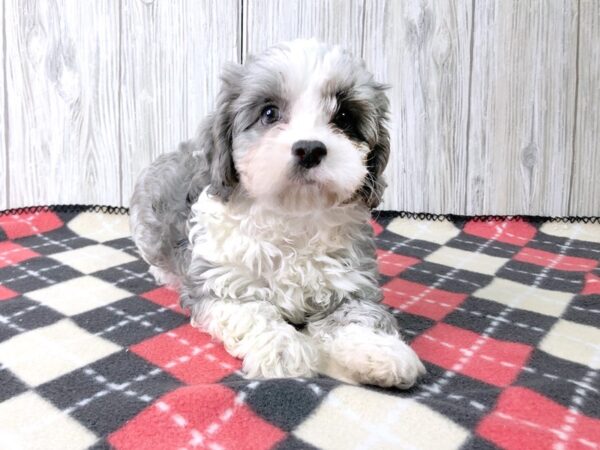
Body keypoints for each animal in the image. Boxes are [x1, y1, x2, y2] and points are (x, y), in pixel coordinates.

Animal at [129, 38, 424, 388]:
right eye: (269, 113)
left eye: (343, 117)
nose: (309, 149)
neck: (292, 217)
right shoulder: (221, 282)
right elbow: (253, 314)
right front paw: (283, 349)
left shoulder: (350, 281)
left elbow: (360, 315)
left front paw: (379, 351)